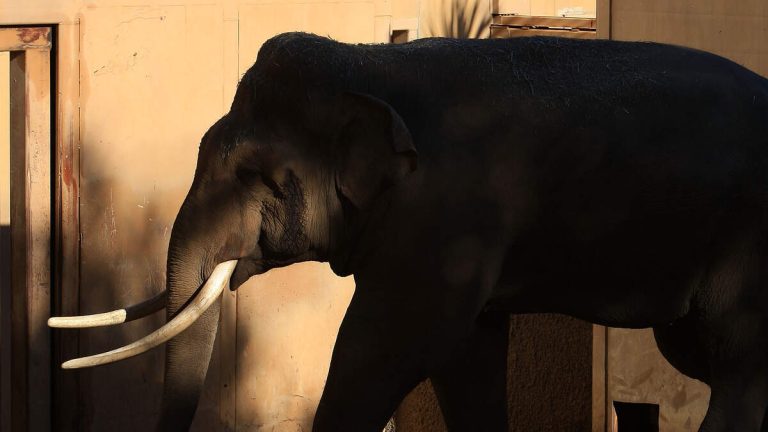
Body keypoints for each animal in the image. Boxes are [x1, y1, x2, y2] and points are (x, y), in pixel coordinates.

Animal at [50, 32, 768, 431]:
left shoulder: (449, 212)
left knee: (735, 363)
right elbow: (467, 354)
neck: (368, 66)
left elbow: (393, 344)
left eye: (262, 178)